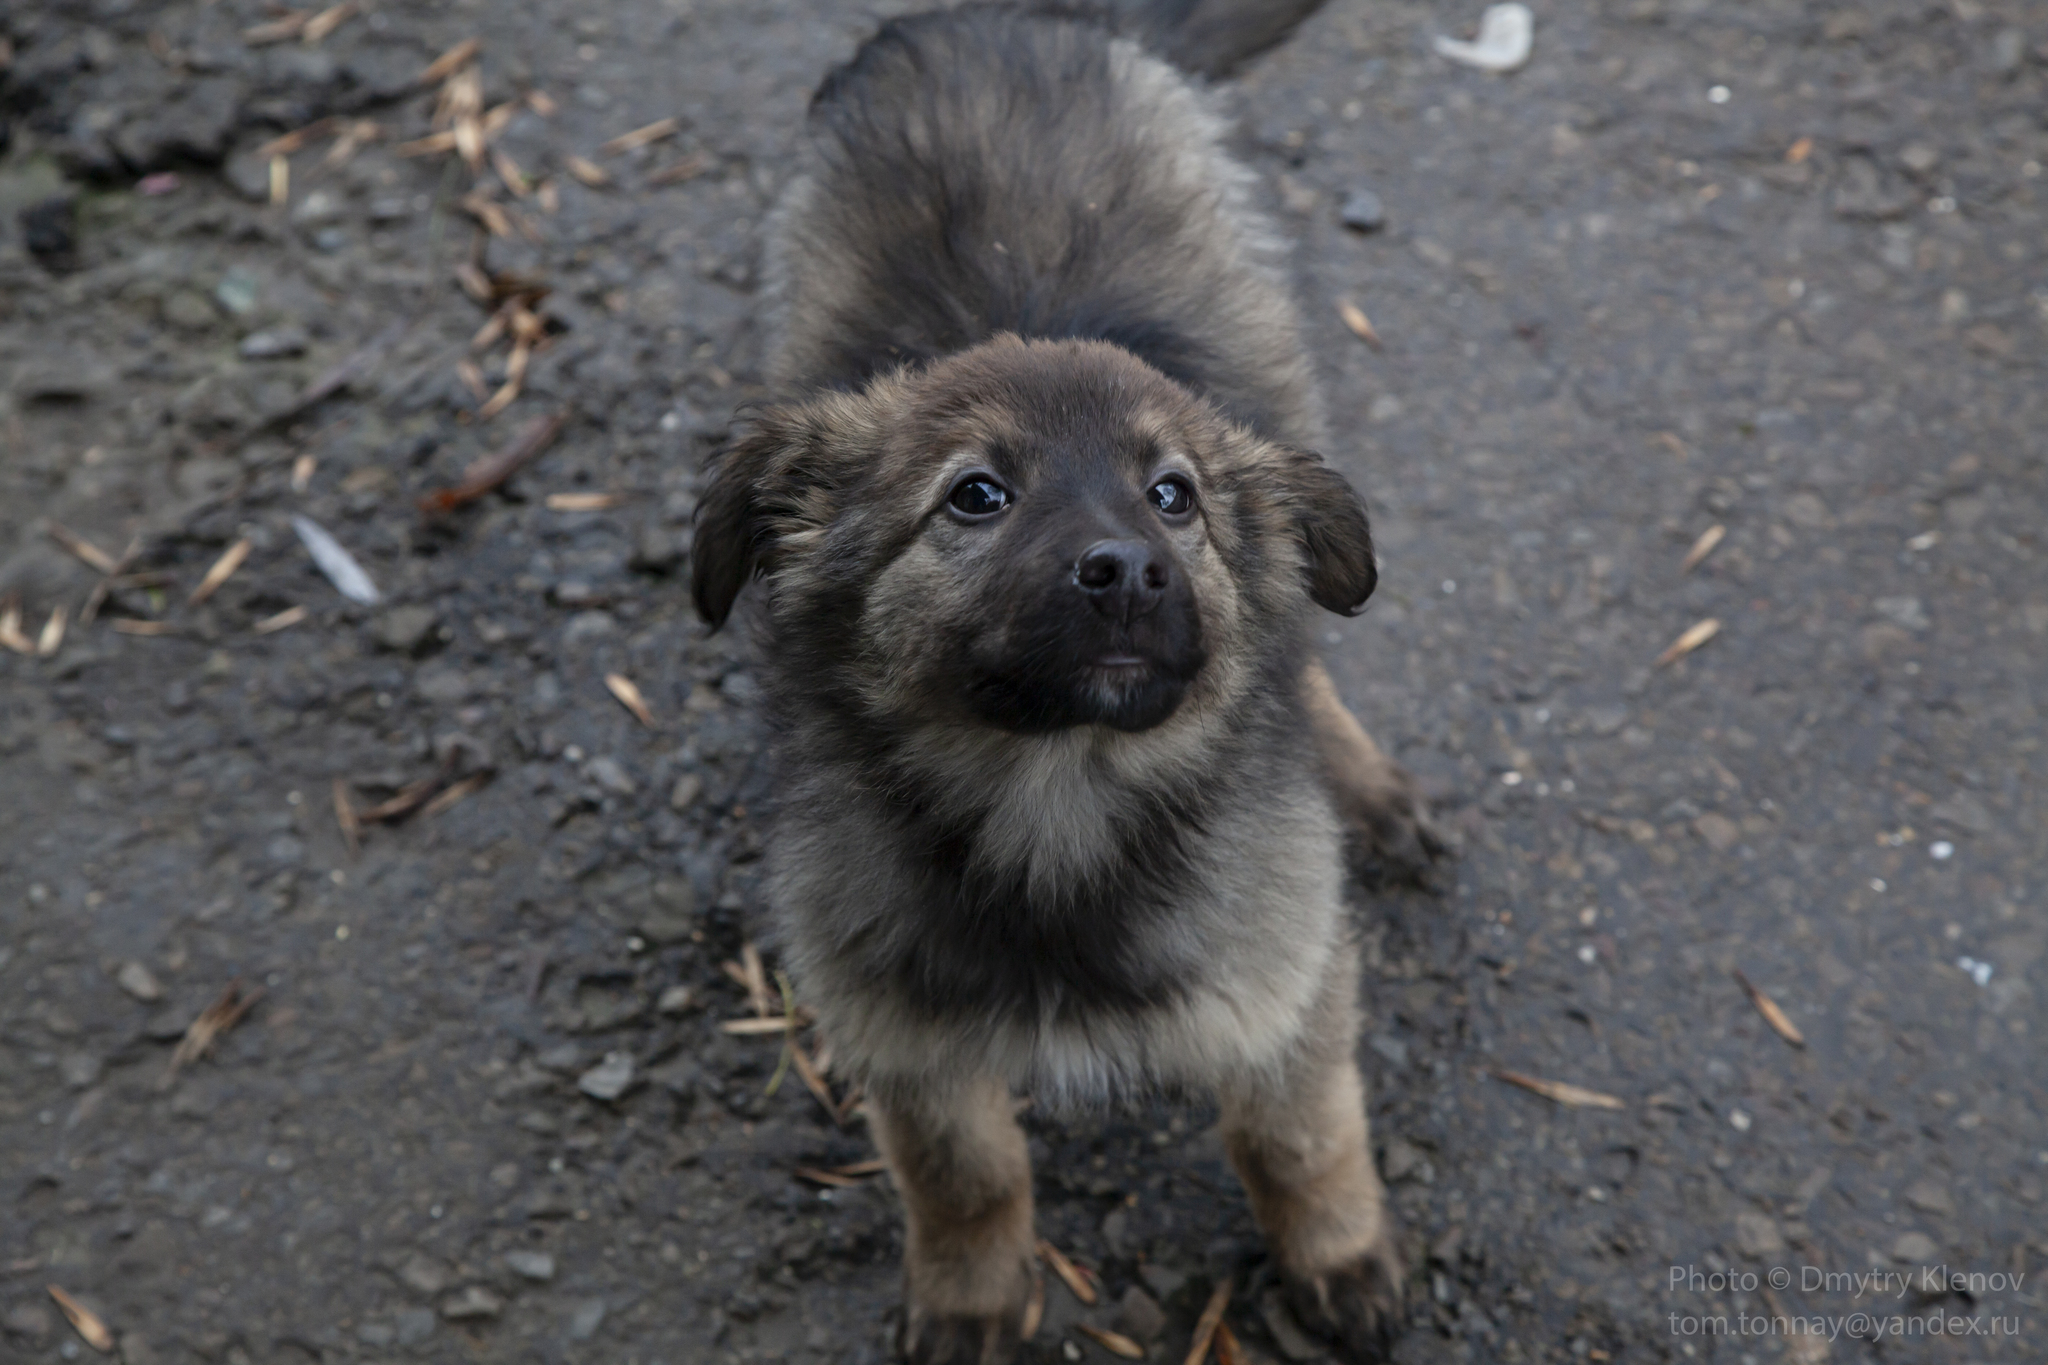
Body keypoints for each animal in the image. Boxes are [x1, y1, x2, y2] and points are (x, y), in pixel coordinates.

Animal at [688, 5, 1441, 1358]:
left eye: (1173, 495)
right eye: (975, 495)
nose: (1128, 572)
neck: (1058, 791)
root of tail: (1012, 20)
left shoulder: (1287, 975)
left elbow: (1297, 1137)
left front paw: (1340, 1260)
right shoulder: (898, 1023)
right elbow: (966, 1173)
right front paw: (970, 1298)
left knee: (1305, 649)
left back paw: (1368, 788)